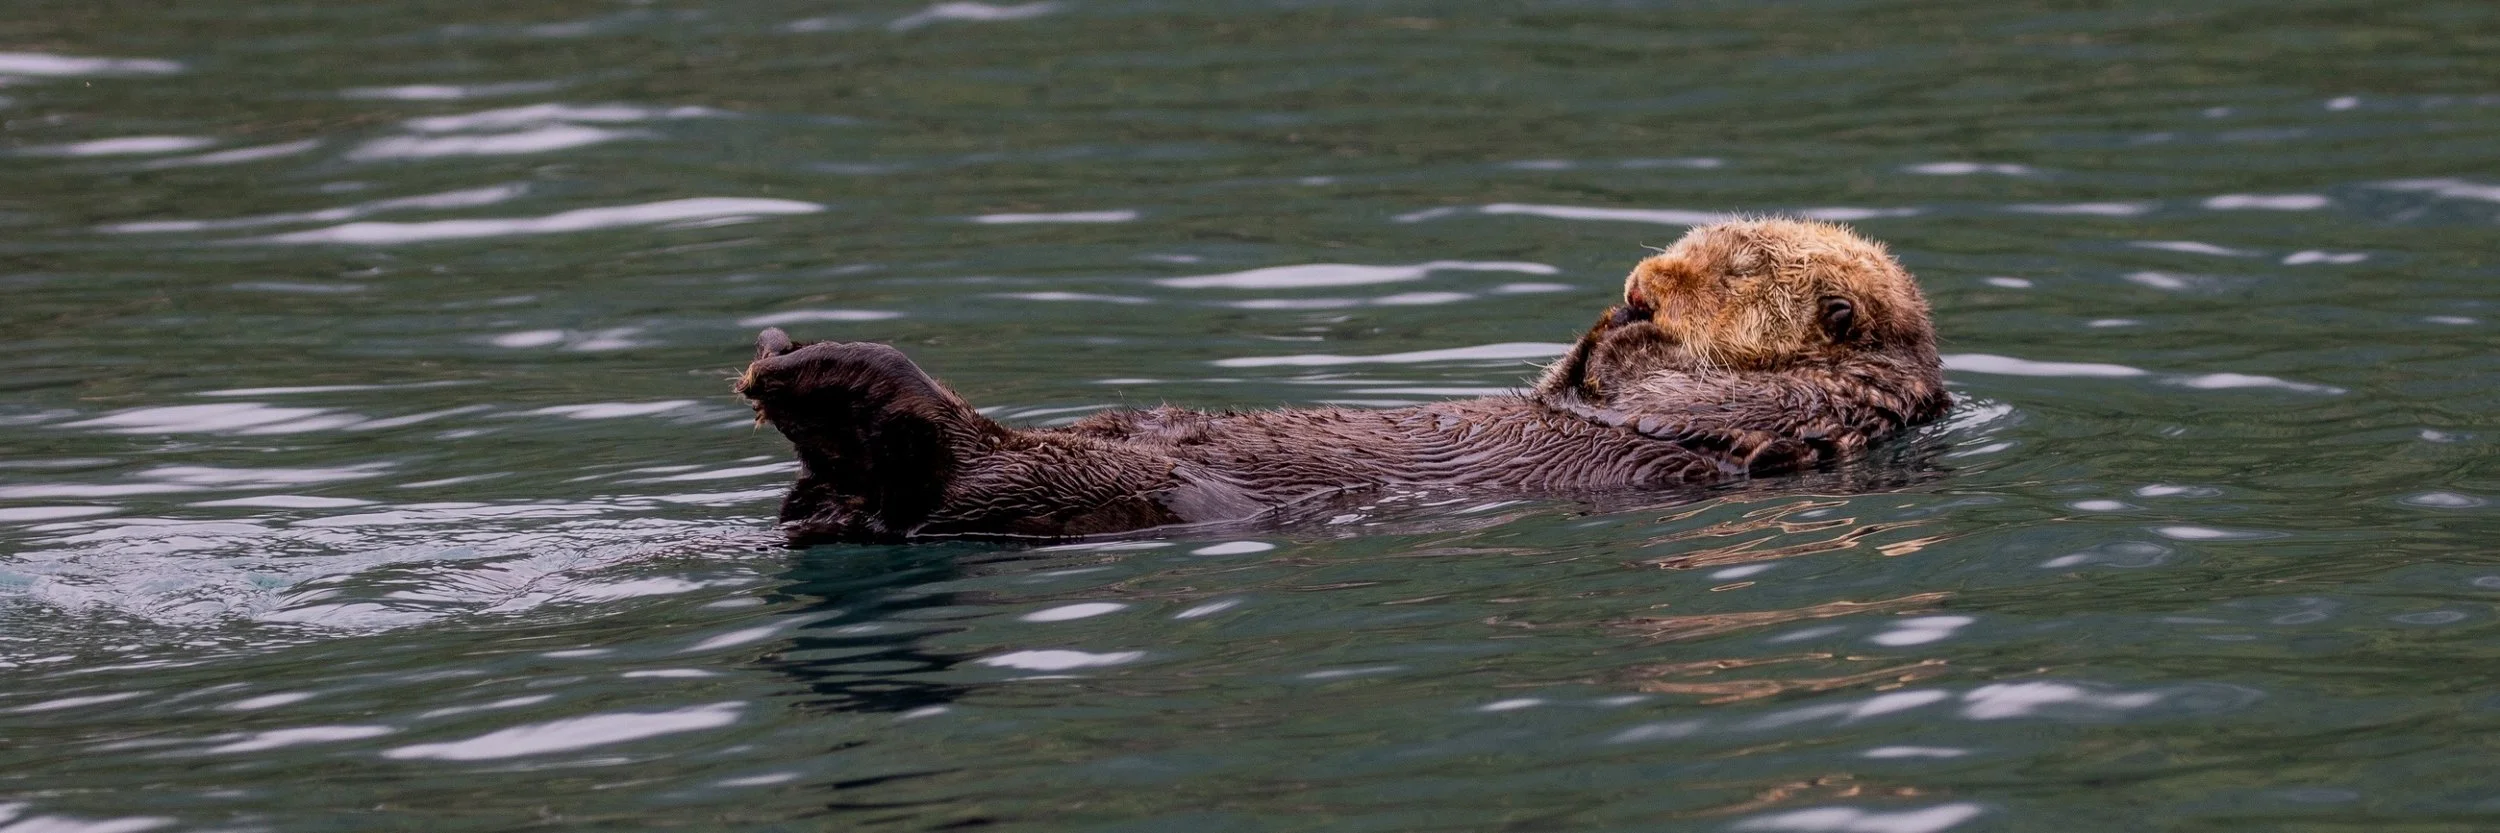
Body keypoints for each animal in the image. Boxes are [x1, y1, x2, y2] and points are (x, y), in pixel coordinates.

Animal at [735, 219, 1950, 544]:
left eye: (1736, 266)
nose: (1641, 282)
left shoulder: (1811, 405)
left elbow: (1656, 404)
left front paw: (1627, 338)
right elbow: (1569, 383)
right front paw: (1606, 323)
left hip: (1097, 486)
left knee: (955, 474)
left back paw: (833, 386)